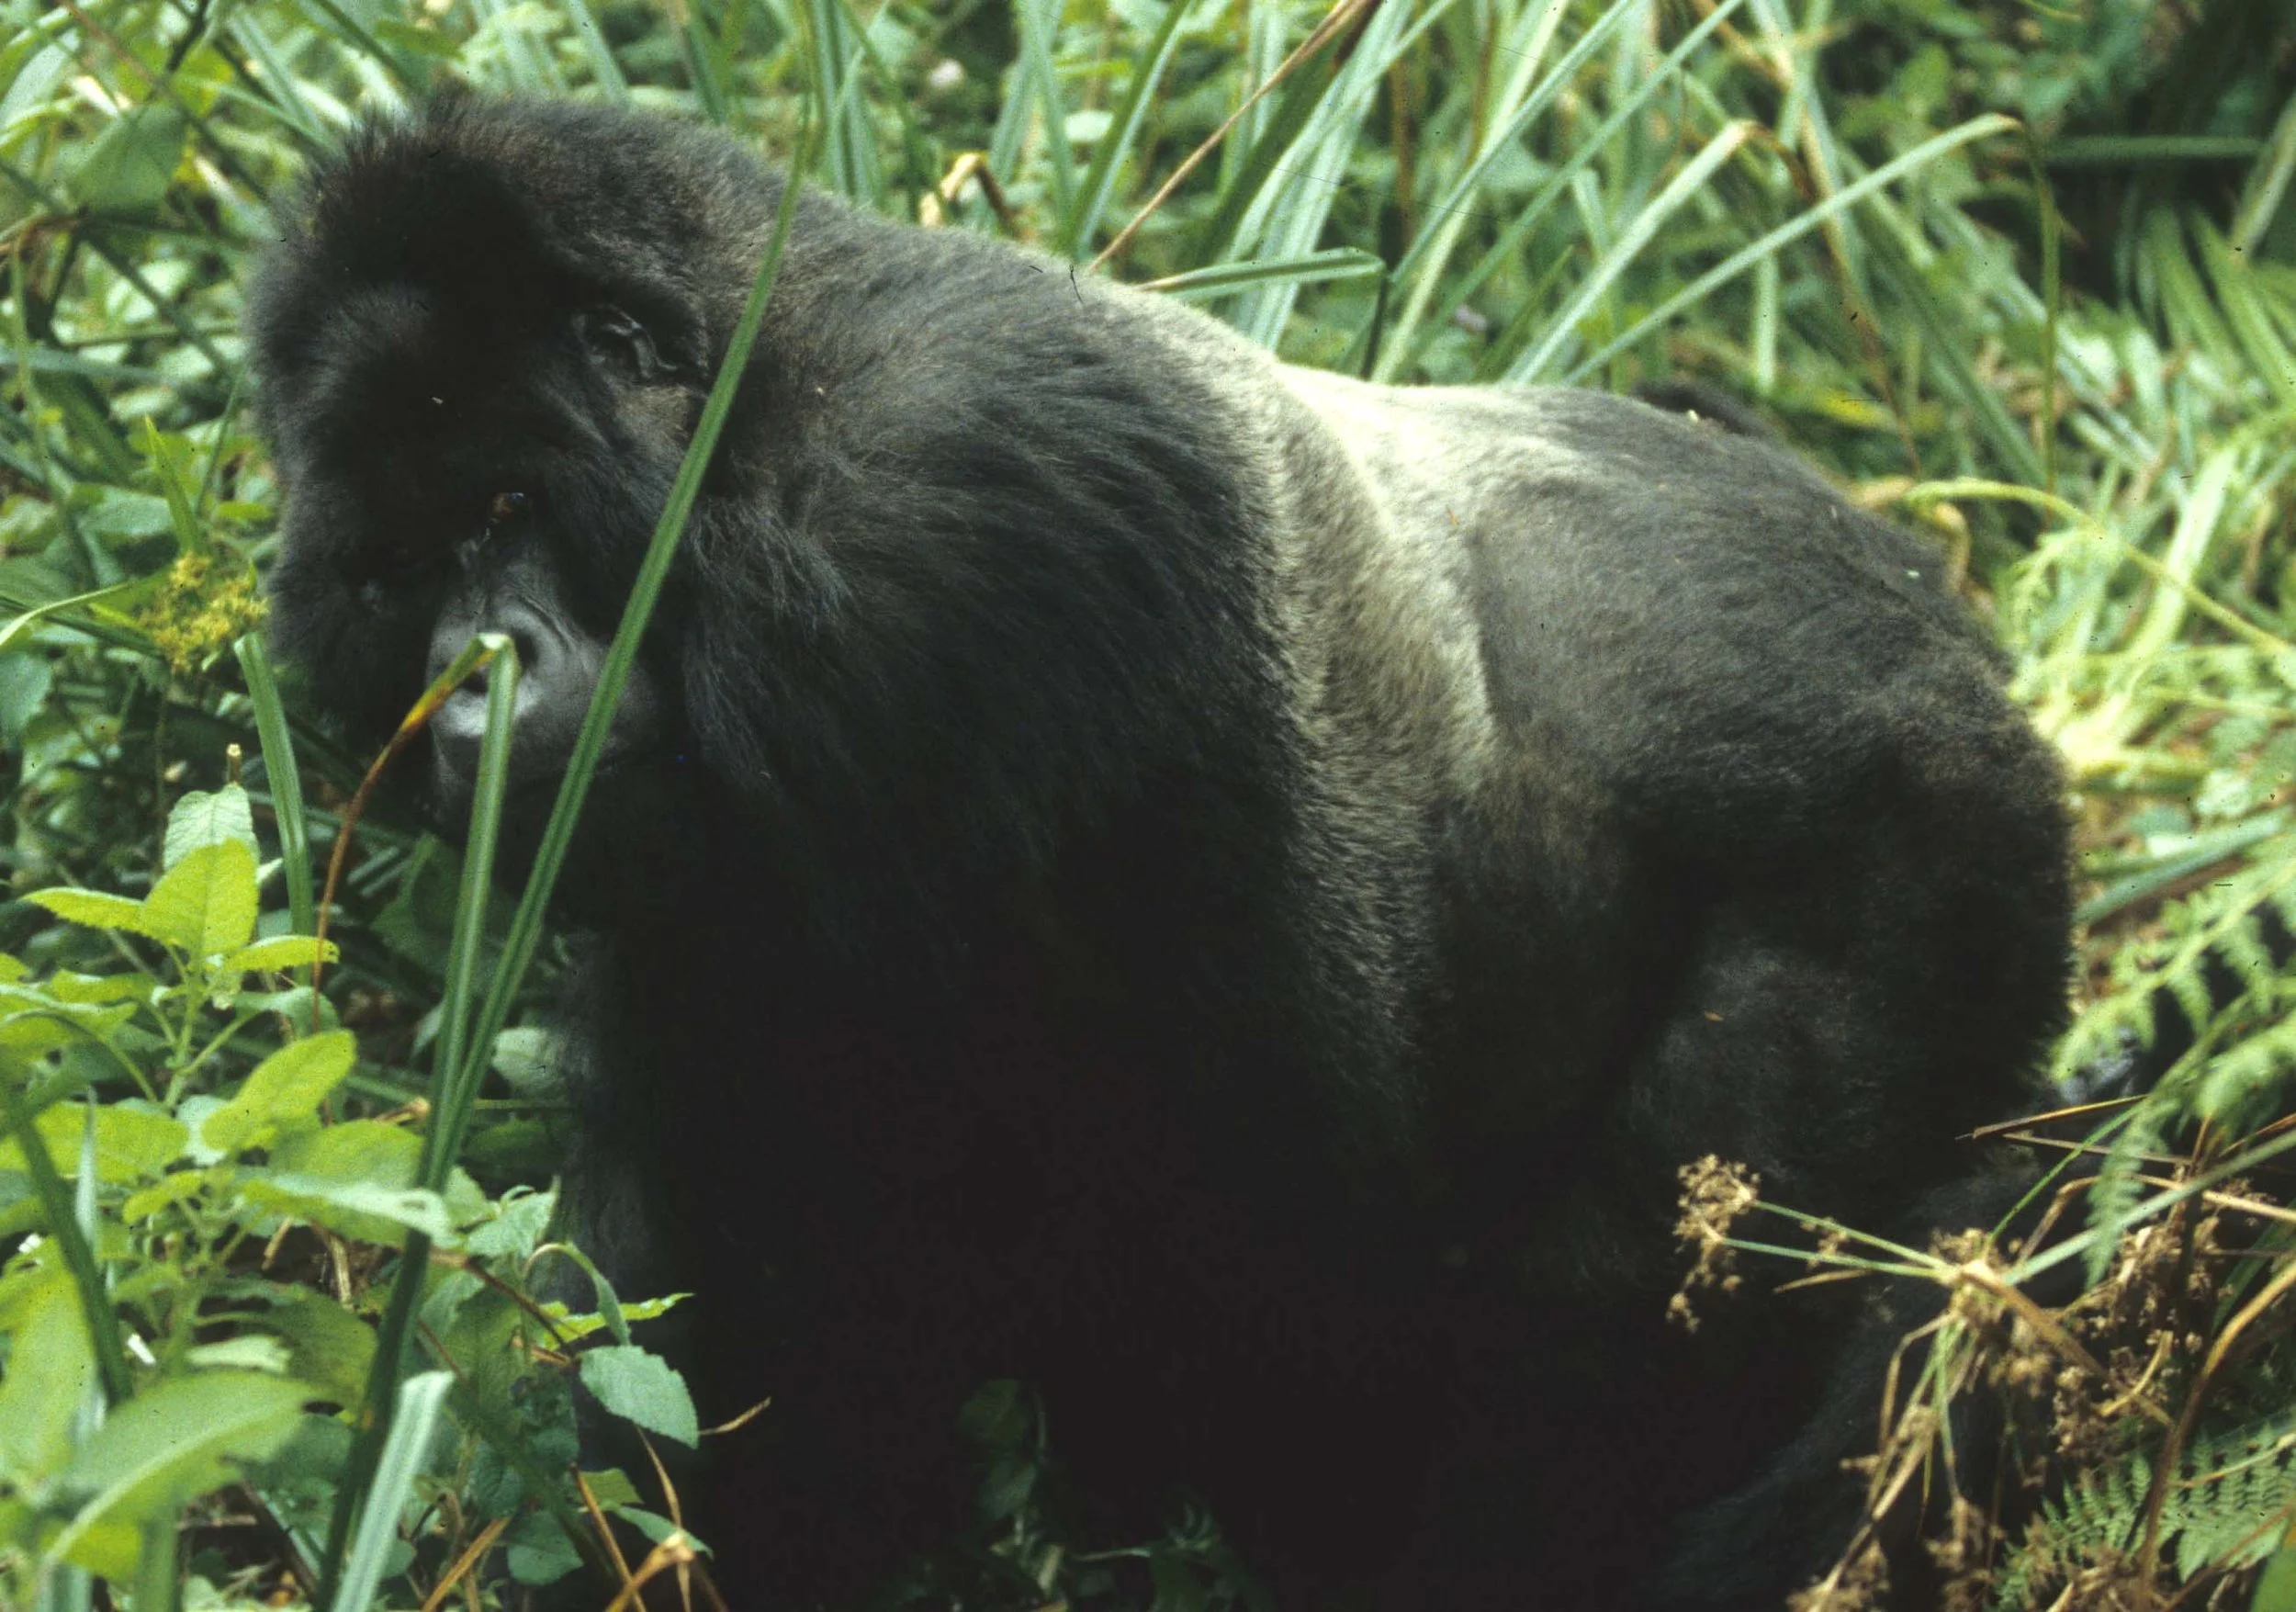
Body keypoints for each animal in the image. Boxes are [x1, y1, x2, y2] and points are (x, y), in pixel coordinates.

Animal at [250, 97, 2072, 1610]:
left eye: (500, 507)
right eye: (397, 573)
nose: (469, 684)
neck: (754, 404)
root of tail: (1956, 636)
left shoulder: (928, 541)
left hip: (1930, 837)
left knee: (1625, 1305)